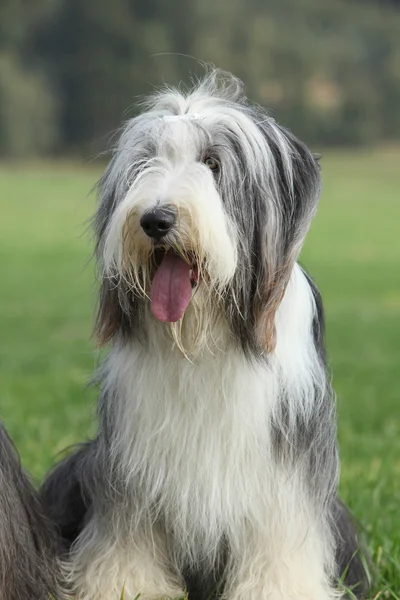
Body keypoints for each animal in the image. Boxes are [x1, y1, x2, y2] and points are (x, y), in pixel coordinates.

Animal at [40, 70, 368, 600]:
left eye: (213, 163)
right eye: (145, 162)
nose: (156, 219)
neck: (202, 338)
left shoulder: (286, 462)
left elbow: (280, 532)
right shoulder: (131, 462)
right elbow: (127, 530)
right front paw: (125, 585)